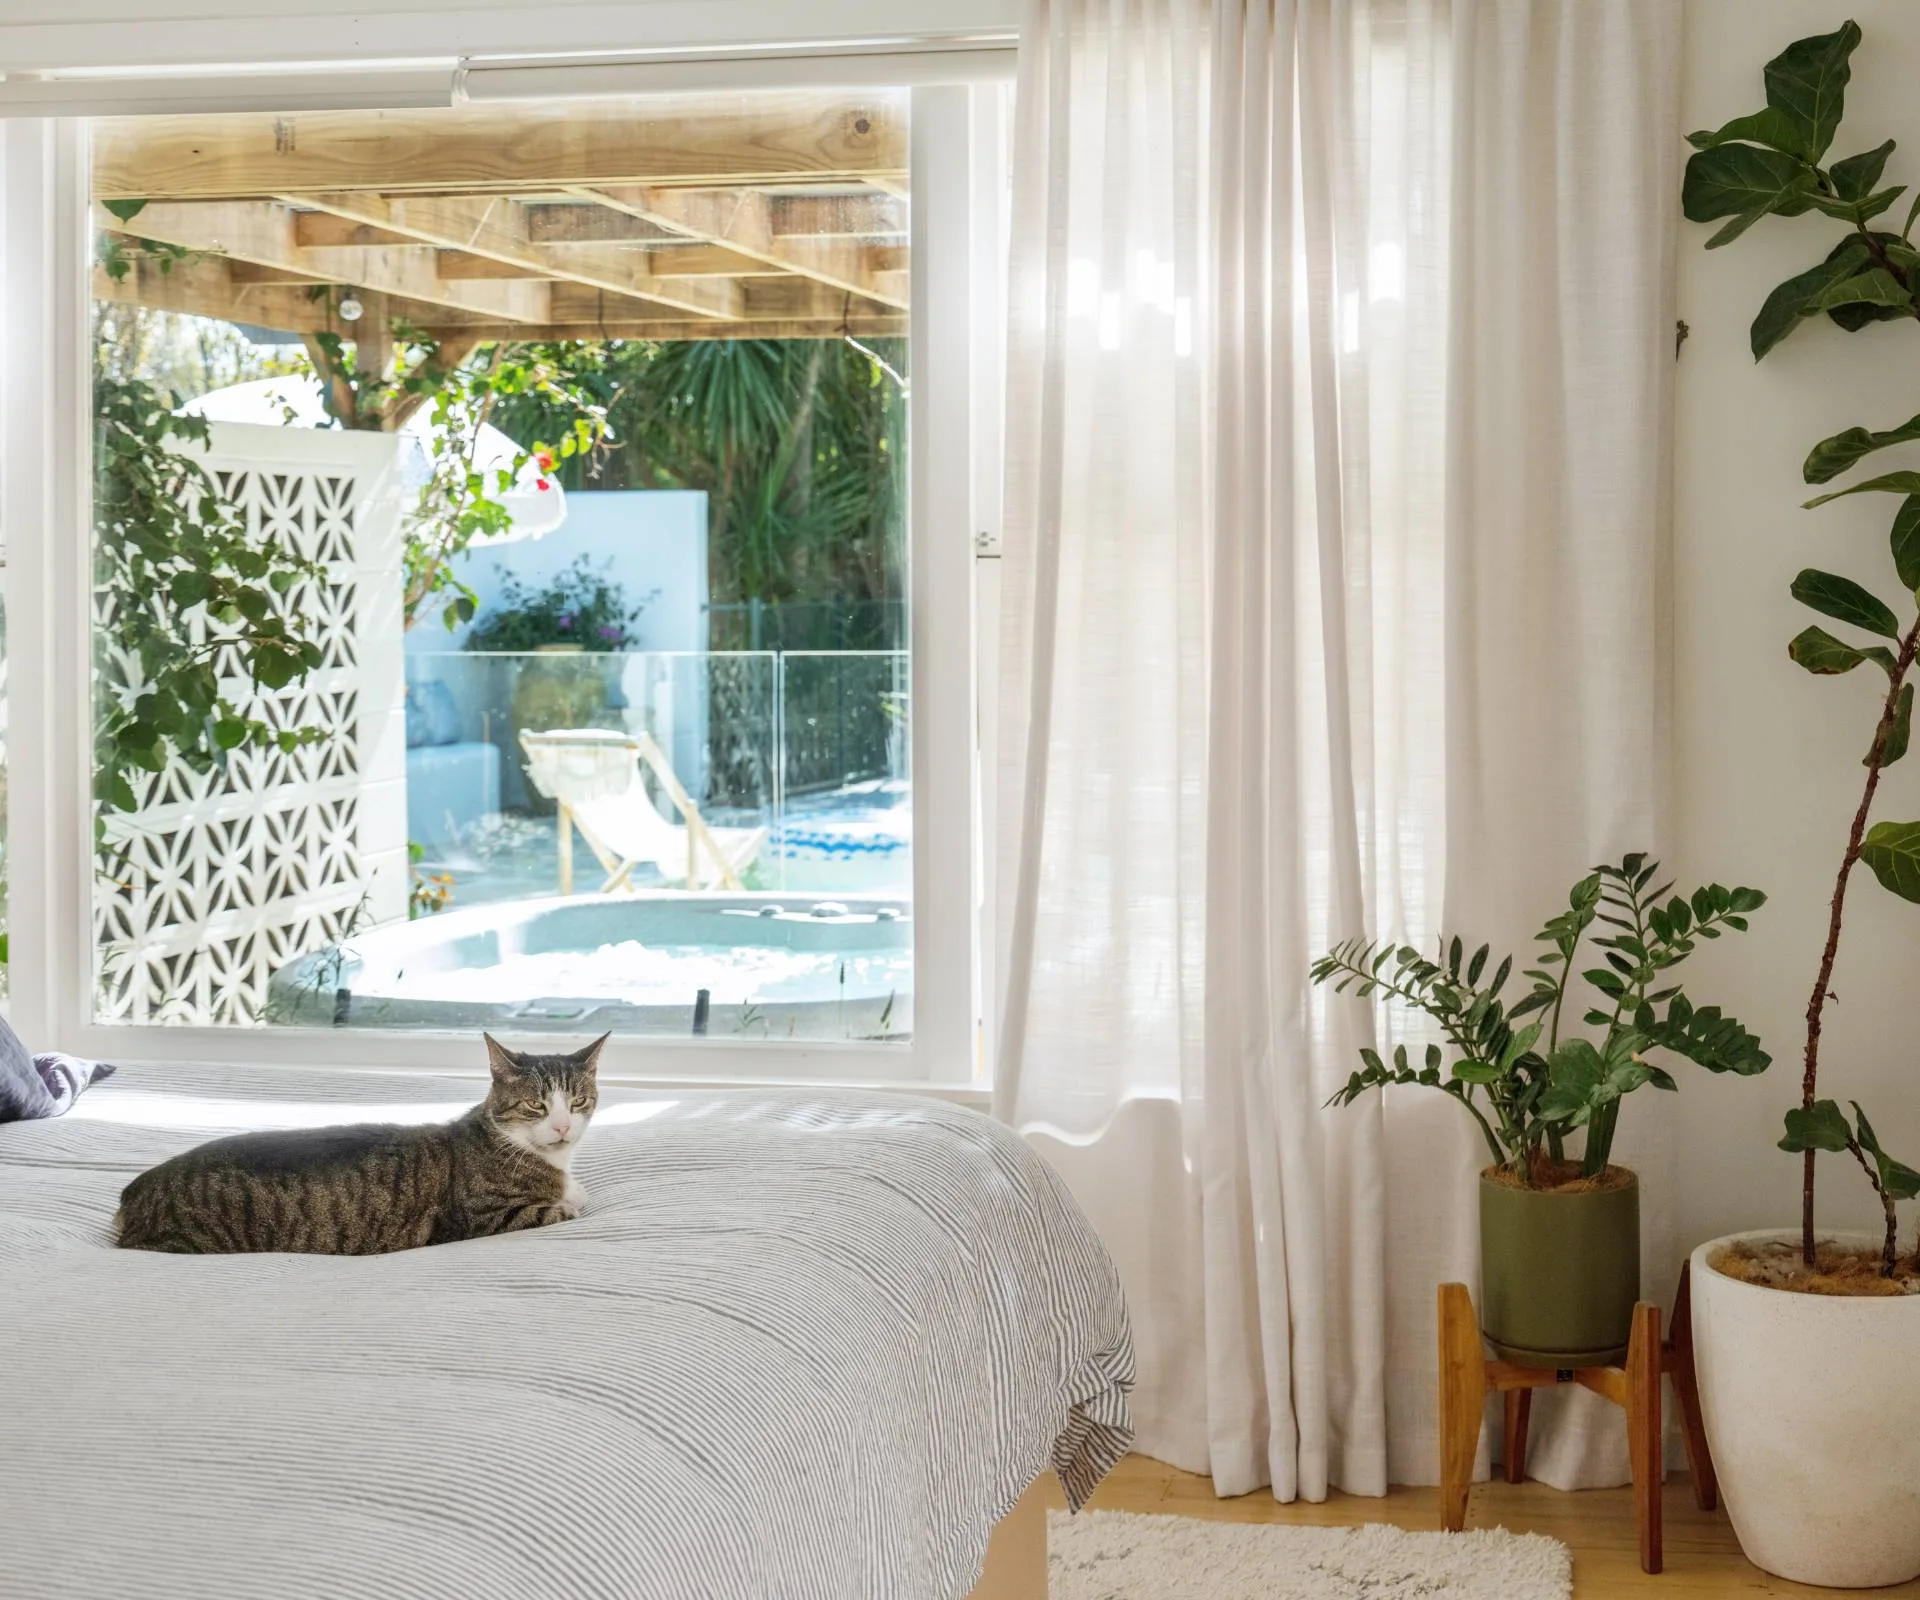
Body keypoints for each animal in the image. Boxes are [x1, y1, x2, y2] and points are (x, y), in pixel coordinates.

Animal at [116, 1037, 602, 1244]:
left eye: (578, 1101)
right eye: (536, 1106)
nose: (563, 1127)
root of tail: (134, 1191)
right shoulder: (482, 1217)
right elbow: (563, 1209)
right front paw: (571, 1201)